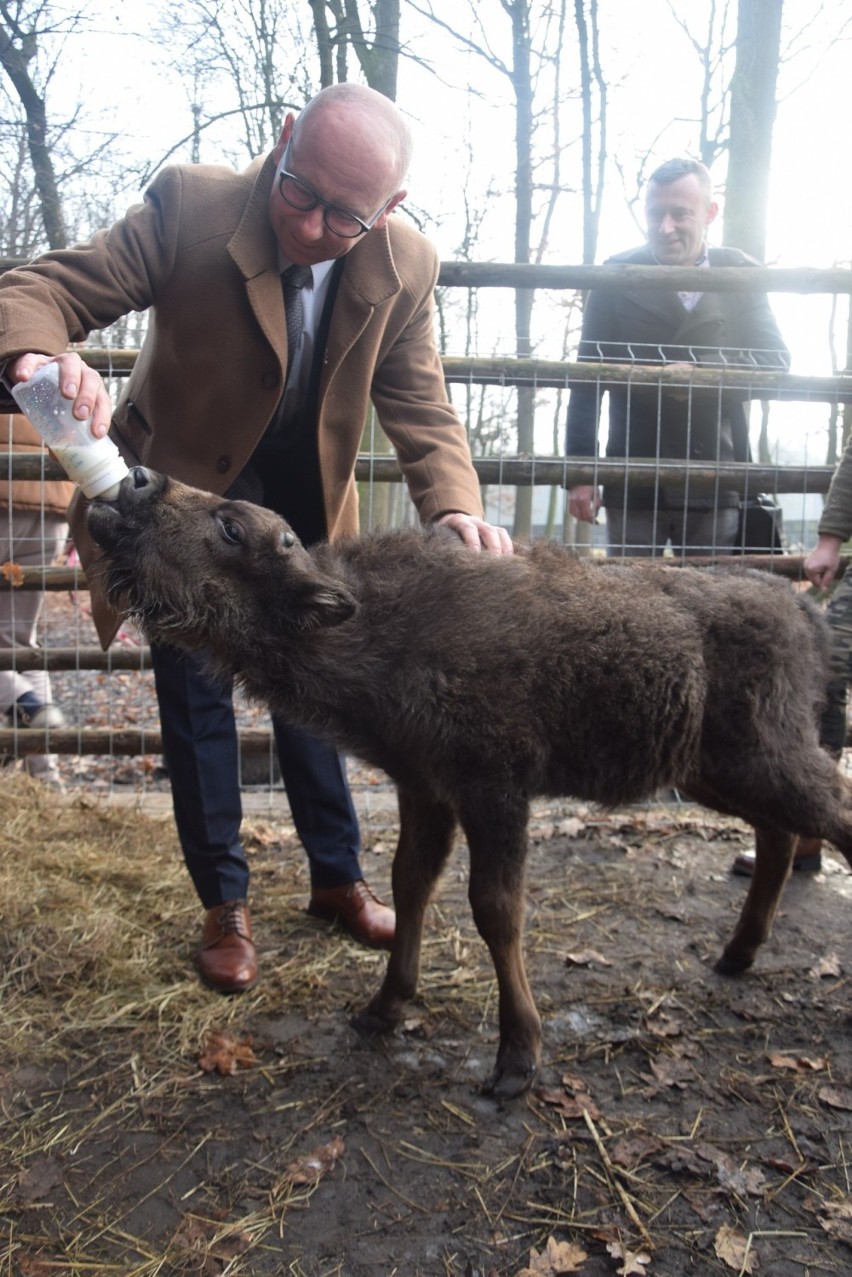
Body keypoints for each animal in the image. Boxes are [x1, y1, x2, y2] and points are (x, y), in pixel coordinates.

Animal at [88, 469, 852, 1098]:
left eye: (231, 526)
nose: (134, 480)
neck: (376, 621)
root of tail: (801, 607)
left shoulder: (494, 790)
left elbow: (495, 910)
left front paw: (517, 1057)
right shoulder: (426, 788)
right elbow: (410, 884)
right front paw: (382, 1008)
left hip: (765, 760)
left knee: (829, 813)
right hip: (714, 770)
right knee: (779, 834)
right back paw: (735, 954)